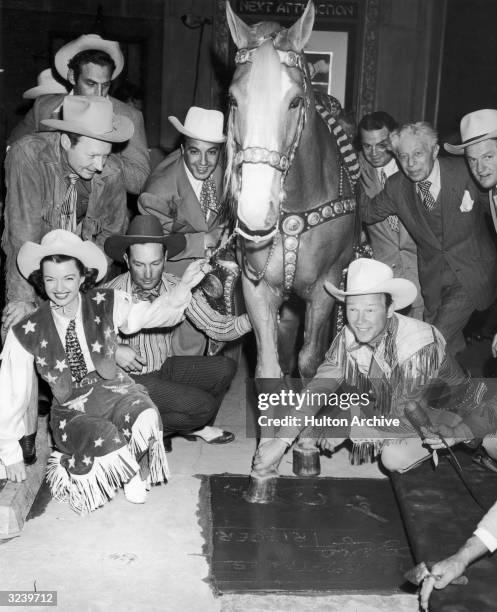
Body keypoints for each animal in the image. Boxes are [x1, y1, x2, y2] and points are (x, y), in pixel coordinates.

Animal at [225, 2, 356, 380]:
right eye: (233, 100)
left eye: (295, 101)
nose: (255, 213)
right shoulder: (256, 288)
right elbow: (269, 366)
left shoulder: (324, 289)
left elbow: (310, 362)